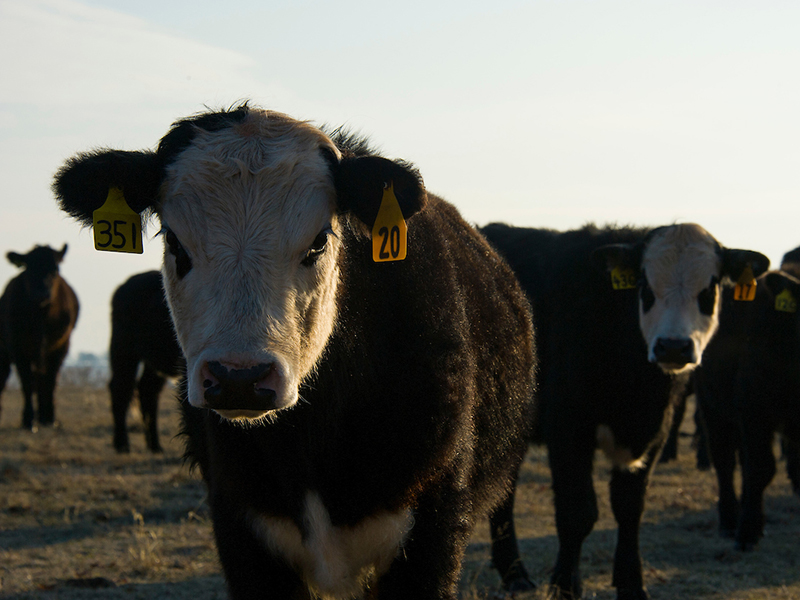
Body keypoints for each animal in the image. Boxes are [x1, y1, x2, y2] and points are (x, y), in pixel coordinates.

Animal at [0, 244, 79, 430]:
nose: (42, 294)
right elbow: (27, 382)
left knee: (42, 379)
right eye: (29, 269)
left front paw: (50, 418)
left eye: (55, 269)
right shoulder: (17, 348)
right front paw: (29, 419)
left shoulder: (61, 347)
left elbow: (50, 380)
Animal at [109, 270, 184, 453]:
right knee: (121, 388)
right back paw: (122, 444)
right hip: (124, 351)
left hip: (154, 362)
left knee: (147, 391)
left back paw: (154, 445)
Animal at [479, 222, 769, 600]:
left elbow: (630, 508)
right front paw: (565, 585)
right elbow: (577, 512)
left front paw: (632, 585)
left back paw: (513, 572)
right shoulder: (569, 427)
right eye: (644, 285)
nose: (673, 346)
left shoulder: (655, 433)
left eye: (709, 288)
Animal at [694, 247, 800, 550]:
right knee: (724, 462)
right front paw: (748, 531)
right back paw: (730, 520)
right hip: (713, 407)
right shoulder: (755, 411)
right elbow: (761, 468)